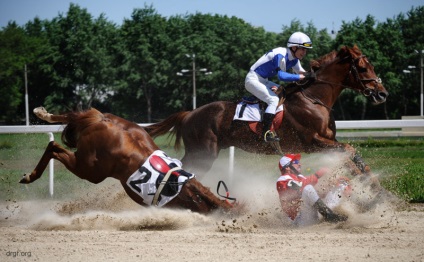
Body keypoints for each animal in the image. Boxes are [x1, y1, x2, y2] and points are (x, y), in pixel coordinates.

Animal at [19, 107, 235, 214]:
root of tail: (104, 122)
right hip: (89, 169)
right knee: (53, 146)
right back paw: (30, 176)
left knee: (75, 118)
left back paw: (41, 113)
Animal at [145, 46, 388, 178]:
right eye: (363, 68)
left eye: (372, 66)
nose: (382, 94)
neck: (314, 99)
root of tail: (189, 114)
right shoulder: (312, 141)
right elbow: (349, 150)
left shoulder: (330, 141)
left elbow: (351, 156)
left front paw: (373, 184)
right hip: (204, 152)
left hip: (201, 151)